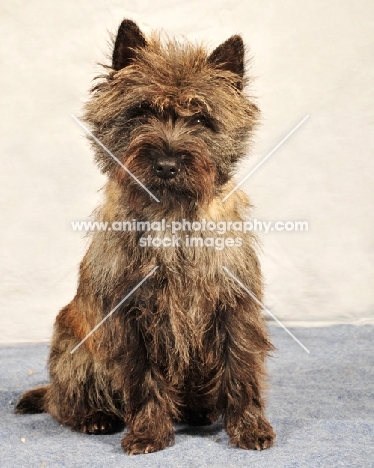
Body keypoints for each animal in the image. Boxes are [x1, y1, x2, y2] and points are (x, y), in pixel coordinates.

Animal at [15, 18, 274, 454]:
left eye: (201, 120)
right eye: (141, 112)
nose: (167, 165)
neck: (170, 217)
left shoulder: (233, 307)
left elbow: (240, 368)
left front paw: (250, 427)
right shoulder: (132, 317)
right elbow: (143, 378)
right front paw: (149, 432)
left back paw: (200, 412)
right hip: (76, 356)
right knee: (63, 401)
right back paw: (96, 417)